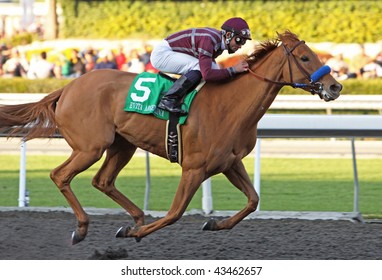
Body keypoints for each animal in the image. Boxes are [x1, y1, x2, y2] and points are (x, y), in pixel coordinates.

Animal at [0, 31, 340, 244]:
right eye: (305, 58)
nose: (335, 86)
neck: (230, 104)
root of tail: (68, 87)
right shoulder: (194, 167)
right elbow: (175, 212)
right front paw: (134, 234)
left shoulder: (230, 163)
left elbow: (253, 201)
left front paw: (214, 223)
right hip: (90, 147)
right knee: (60, 175)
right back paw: (84, 228)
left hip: (123, 145)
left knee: (103, 180)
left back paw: (137, 218)